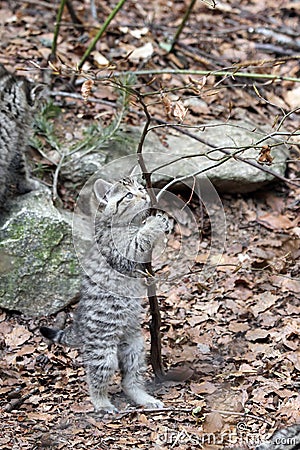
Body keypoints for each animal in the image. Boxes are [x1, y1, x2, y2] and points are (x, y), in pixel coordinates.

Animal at [41, 178, 171, 414]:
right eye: (128, 195)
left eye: (140, 188)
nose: (144, 195)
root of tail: (79, 324)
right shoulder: (124, 253)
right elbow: (141, 238)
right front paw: (154, 223)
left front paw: (162, 222)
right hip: (103, 353)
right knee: (95, 381)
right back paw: (101, 403)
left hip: (134, 348)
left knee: (130, 381)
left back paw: (144, 398)